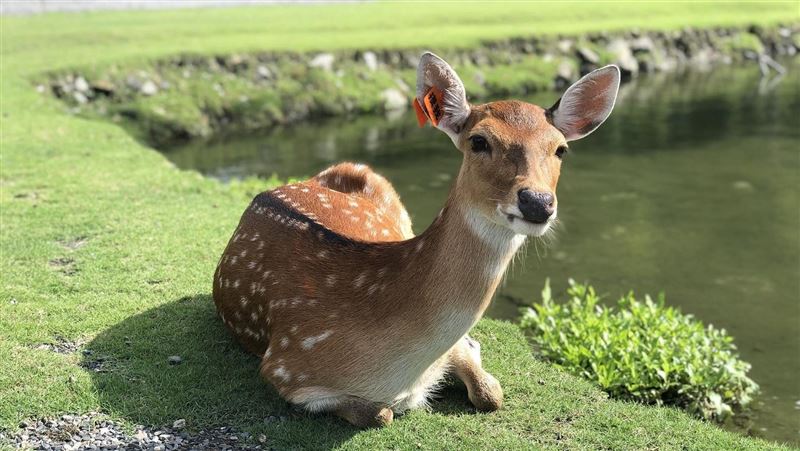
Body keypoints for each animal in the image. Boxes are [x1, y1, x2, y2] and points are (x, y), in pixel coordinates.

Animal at [213, 52, 620, 428]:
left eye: (560, 148)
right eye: (479, 141)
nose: (537, 202)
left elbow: (491, 392)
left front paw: (473, 353)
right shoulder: (285, 368)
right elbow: (381, 415)